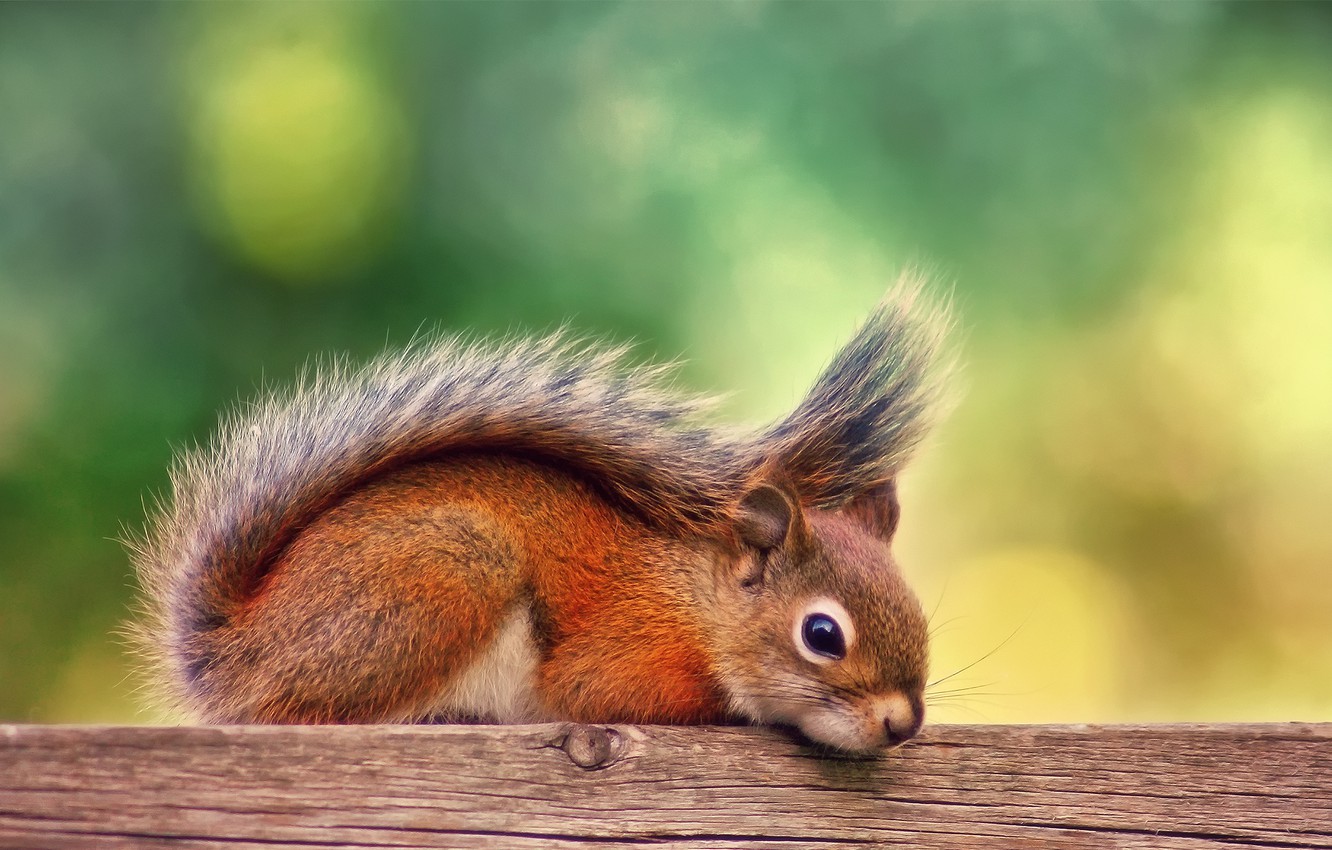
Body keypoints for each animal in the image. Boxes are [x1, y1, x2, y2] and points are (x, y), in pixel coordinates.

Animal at [128, 280, 949, 754]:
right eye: (822, 635)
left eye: (919, 616)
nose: (902, 723)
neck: (697, 609)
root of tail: (236, 650)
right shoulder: (621, 660)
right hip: (440, 579)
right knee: (298, 710)